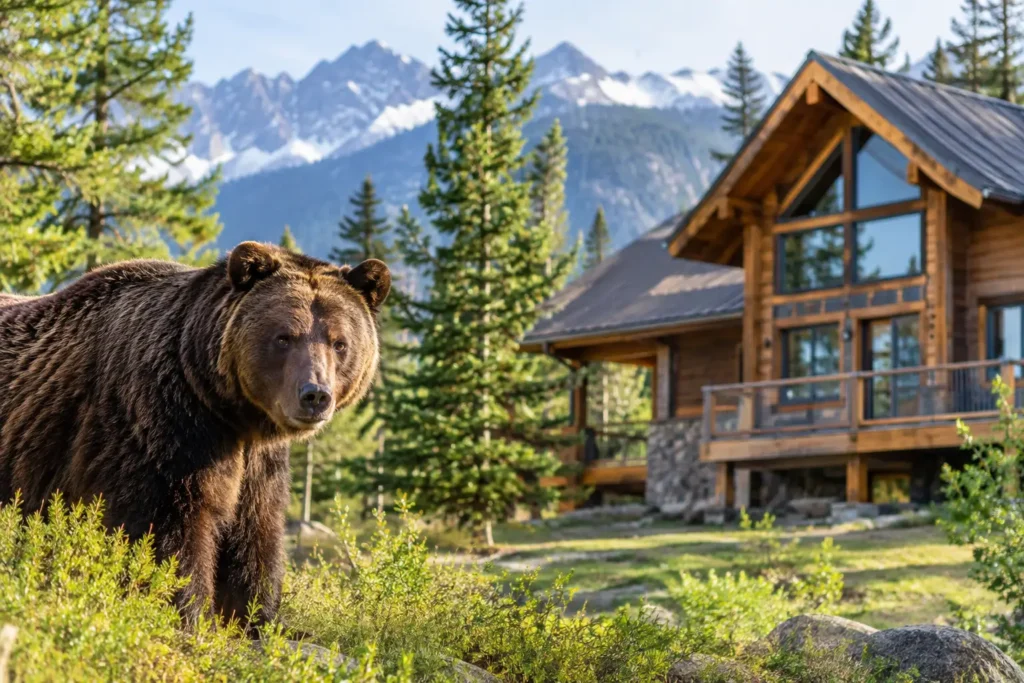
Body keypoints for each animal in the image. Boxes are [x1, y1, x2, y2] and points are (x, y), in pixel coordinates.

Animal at [0, 241, 390, 631]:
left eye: (339, 343)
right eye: (284, 337)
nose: (315, 395)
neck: (229, 411)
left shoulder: (257, 462)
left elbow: (256, 528)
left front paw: (254, 616)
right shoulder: (163, 427)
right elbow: (173, 527)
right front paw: (188, 612)